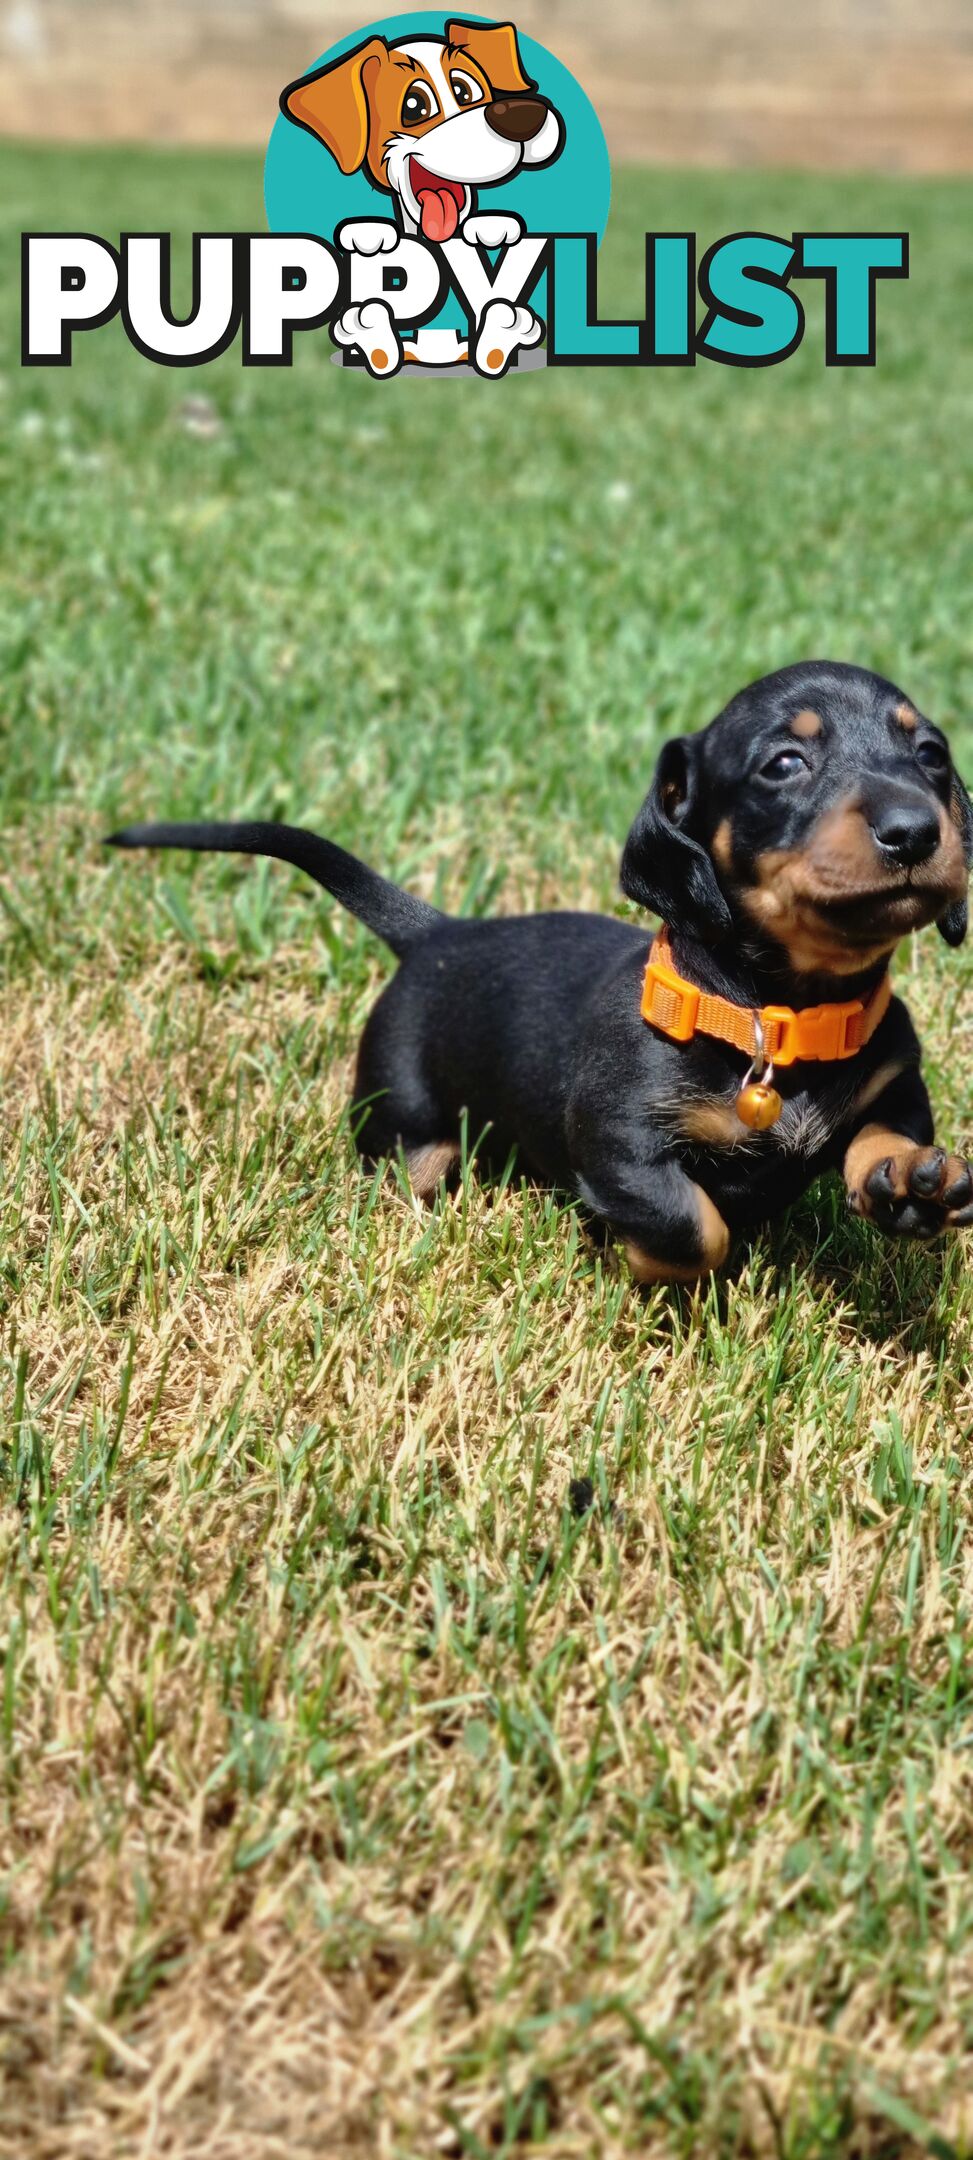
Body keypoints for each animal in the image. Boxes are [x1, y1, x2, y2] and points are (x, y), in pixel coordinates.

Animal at [108, 656, 972, 1278]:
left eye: (929, 755)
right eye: (785, 763)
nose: (914, 831)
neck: (776, 1019)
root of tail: (438, 934)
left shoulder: (892, 1078)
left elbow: (888, 1131)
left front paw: (906, 1183)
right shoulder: (619, 1140)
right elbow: (692, 1226)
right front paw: (636, 1262)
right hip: (401, 1122)